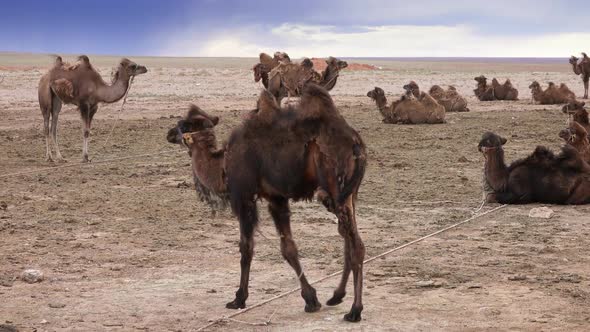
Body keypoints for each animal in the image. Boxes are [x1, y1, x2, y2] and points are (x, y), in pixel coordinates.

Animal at [166, 83, 368, 322]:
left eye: (183, 124)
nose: (169, 133)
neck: (223, 165)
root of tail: (356, 143)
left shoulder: (244, 197)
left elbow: (246, 247)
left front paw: (238, 299)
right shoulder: (276, 198)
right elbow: (288, 248)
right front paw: (311, 299)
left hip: (336, 186)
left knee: (355, 245)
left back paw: (354, 310)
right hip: (349, 193)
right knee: (349, 239)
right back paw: (336, 296)